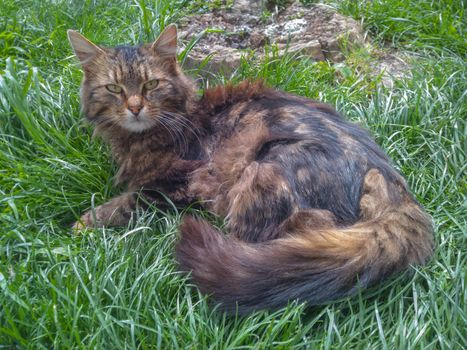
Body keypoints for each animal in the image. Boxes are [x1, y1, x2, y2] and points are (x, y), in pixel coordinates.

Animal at [66, 25, 436, 314]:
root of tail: (389, 179)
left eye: (151, 85)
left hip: (263, 170)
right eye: (114, 88)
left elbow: (125, 202)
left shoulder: (175, 185)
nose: (134, 107)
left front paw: (81, 224)